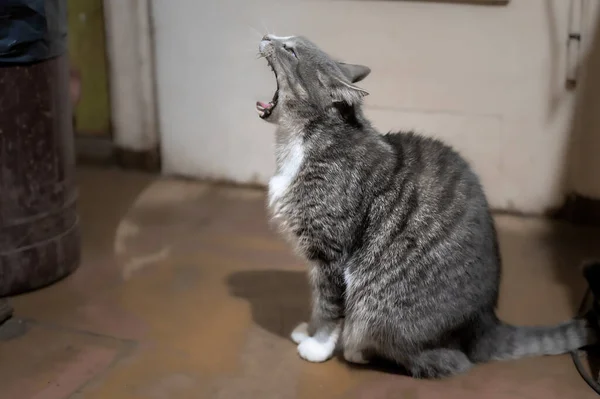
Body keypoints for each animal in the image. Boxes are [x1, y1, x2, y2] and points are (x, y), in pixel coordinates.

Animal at [254, 34, 596, 378]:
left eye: (291, 50)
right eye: (286, 41)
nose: (268, 36)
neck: (299, 142)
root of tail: (486, 324)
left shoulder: (331, 255)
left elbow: (327, 306)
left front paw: (317, 346)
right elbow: (317, 302)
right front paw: (309, 332)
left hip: (377, 305)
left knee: (440, 360)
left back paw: (356, 351)